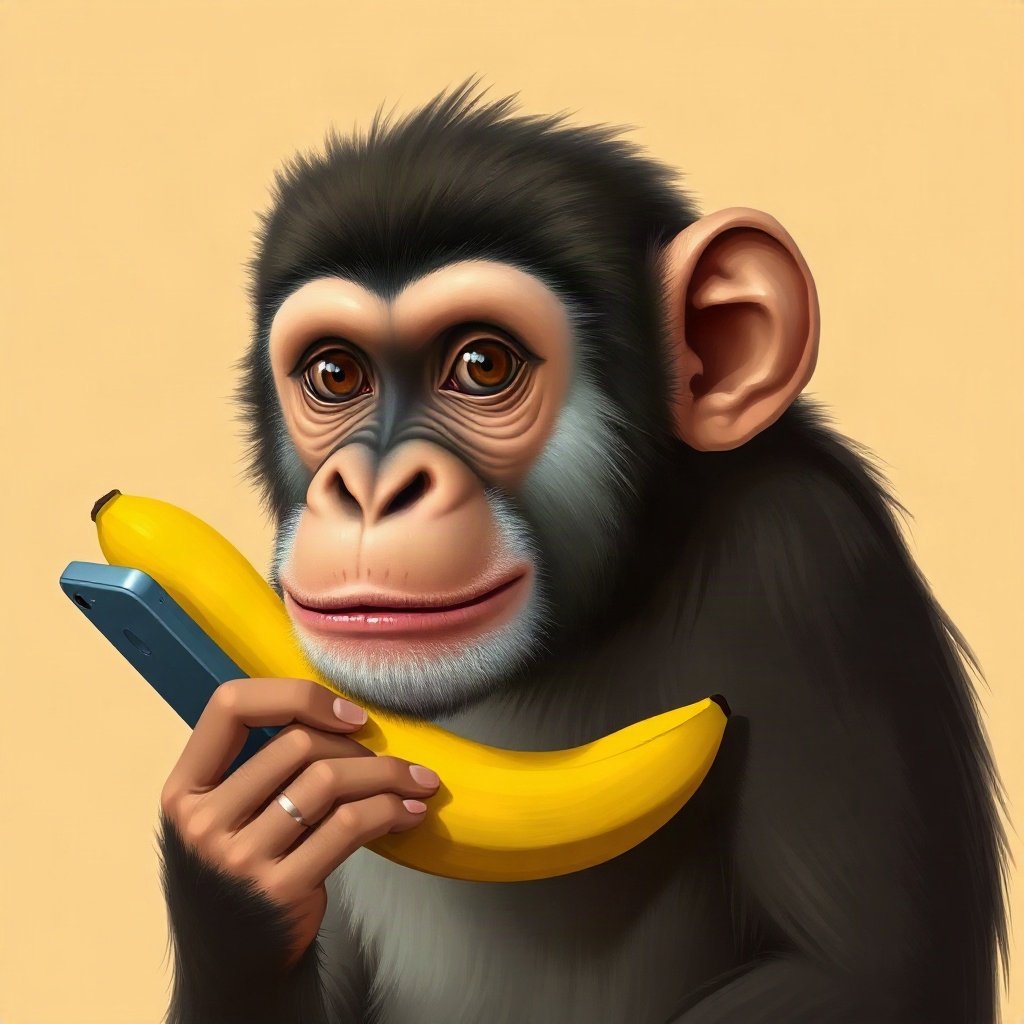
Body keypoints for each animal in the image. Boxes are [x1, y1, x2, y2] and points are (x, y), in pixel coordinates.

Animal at [156, 83, 1009, 1023]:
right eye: (336, 375)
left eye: (482, 364)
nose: (374, 490)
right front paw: (234, 853)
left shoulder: (812, 573)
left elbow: (862, 977)